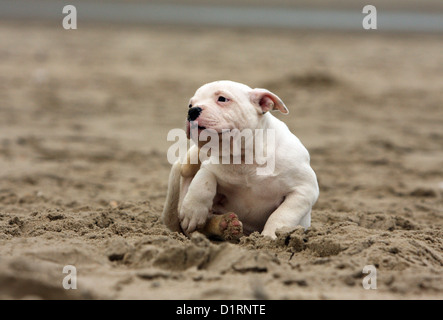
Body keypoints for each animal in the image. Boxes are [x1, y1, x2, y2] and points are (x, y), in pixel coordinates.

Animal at [162, 81, 320, 239]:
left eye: (222, 99)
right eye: (190, 104)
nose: (192, 111)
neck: (244, 157)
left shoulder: (304, 189)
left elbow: (283, 213)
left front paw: (270, 236)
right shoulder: (210, 166)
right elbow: (204, 179)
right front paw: (193, 211)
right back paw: (224, 224)